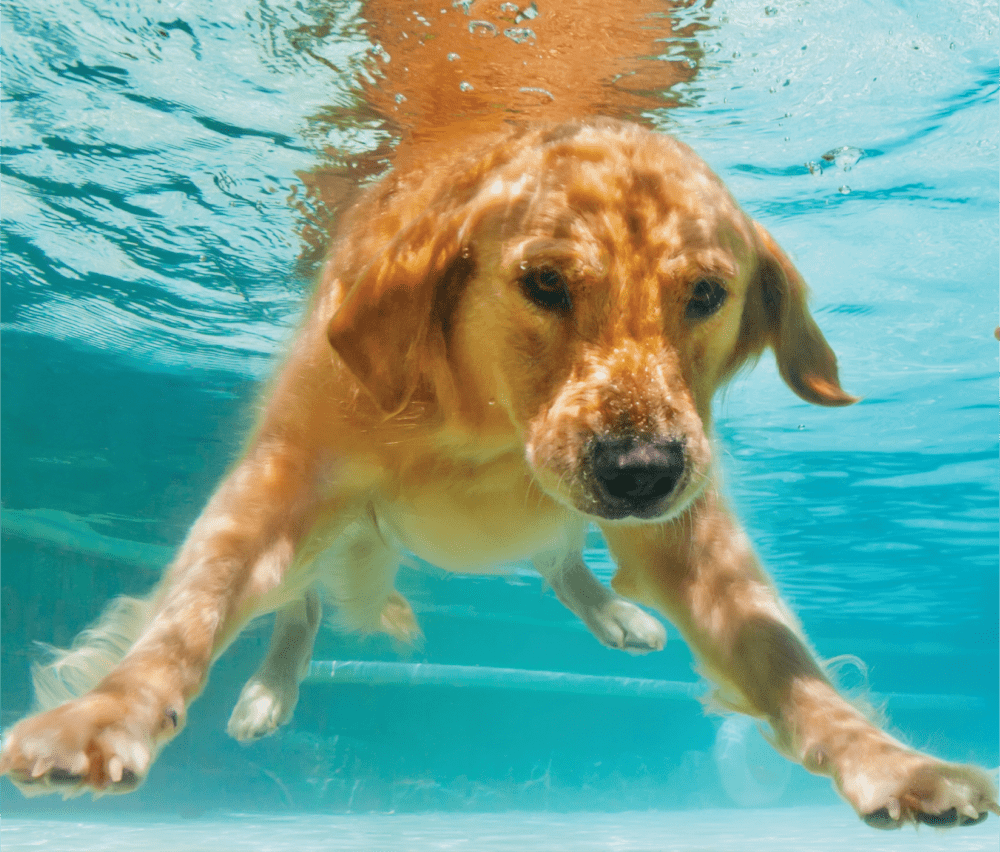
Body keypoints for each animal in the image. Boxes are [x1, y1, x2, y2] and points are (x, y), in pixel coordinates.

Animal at [0, 116, 996, 828]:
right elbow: (188, 618)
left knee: (559, 561)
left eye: (707, 295)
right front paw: (105, 713)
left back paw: (621, 619)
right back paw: (268, 692)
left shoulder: (689, 531)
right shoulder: (288, 476)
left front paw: (891, 761)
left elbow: (786, 665)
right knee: (305, 605)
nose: (641, 472)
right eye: (546, 284)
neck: (485, 426)